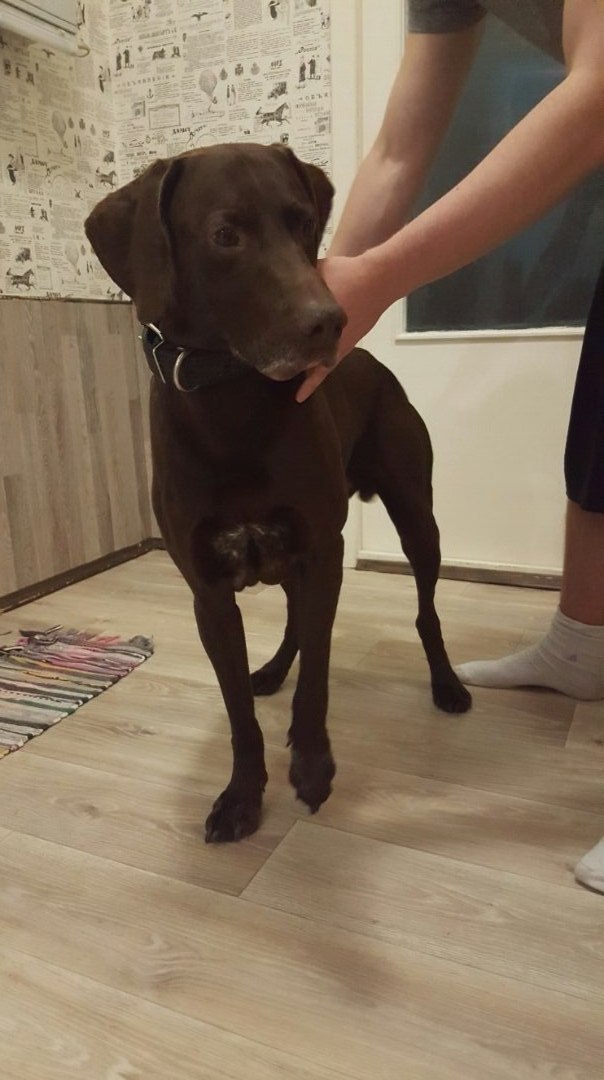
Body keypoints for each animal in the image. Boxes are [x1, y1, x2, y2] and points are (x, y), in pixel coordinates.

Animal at [85, 143, 471, 843]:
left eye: (302, 222)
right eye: (224, 235)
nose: (330, 323)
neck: (232, 398)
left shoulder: (323, 553)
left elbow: (316, 673)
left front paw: (313, 765)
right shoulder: (210, 592)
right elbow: (239, 710)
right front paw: (242, 795)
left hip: (415, 517)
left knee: (425, 610)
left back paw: (446, 684)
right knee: (294, 622)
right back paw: (270, 670)